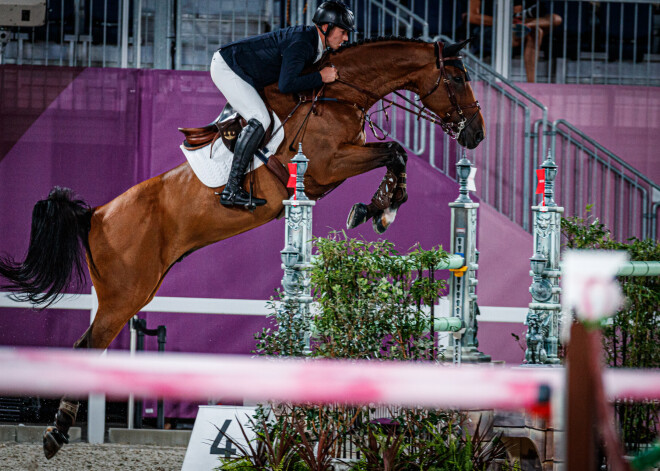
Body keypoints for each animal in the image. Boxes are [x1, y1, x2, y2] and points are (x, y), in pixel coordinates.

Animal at [0, 37, 484, 460]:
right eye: (458, 77)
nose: (476, 135)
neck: (337, 94)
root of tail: (96, 215)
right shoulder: (328, 164)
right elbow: (395, 151)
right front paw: (380, 208)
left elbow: (394, 154)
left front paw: (379, 208)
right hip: (125, 295)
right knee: (86, 347)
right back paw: (56, 432)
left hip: (128, 292)